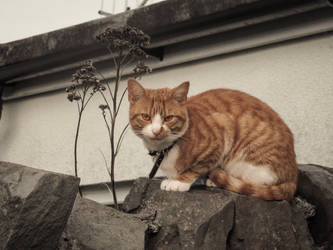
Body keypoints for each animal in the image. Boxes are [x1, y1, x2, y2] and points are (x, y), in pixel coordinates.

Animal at [127, 79, 298, 200]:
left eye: (169, 118)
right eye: (145, 117)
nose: (157, 131)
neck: (166, 148)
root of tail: (293, 174)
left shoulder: (220, 136)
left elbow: (196, 168)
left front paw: (179, 182)